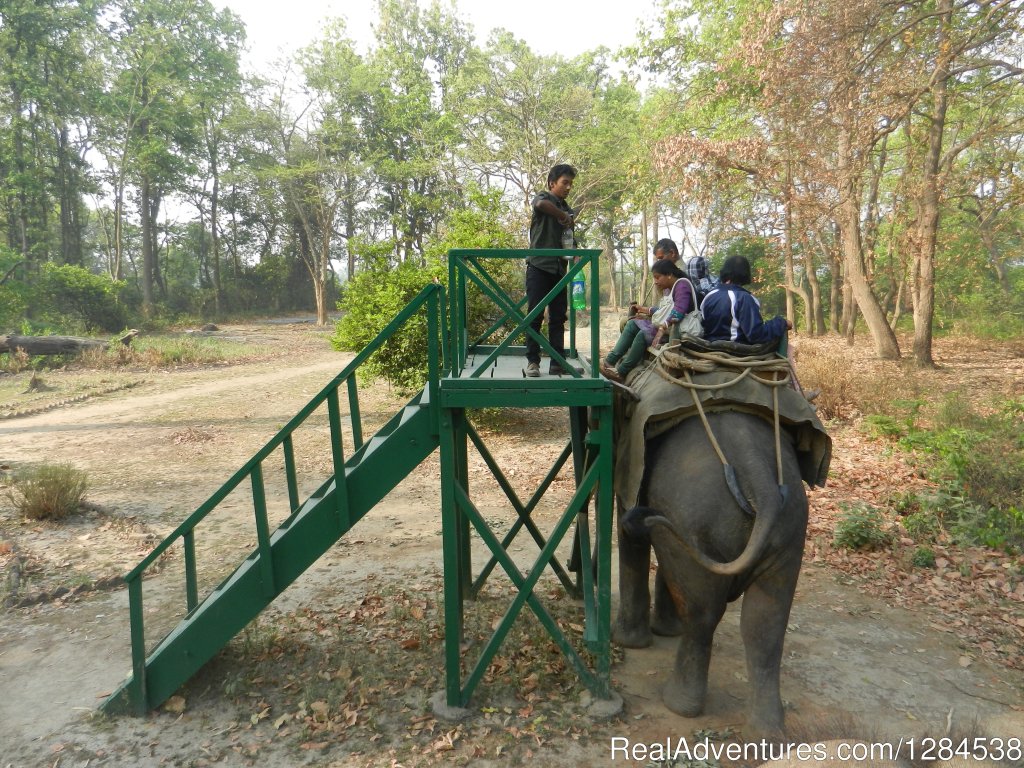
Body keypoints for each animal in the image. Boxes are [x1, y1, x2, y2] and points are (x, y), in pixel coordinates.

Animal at [610, 411, 811, 737]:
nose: (643, 517)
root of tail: (761, 482)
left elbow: (627, 526)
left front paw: (631, 642)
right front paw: (664, 631)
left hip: (693, 515)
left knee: (702, 612)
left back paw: (678, 705)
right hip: (790, 529)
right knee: (766, 622)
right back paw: (767, 732)